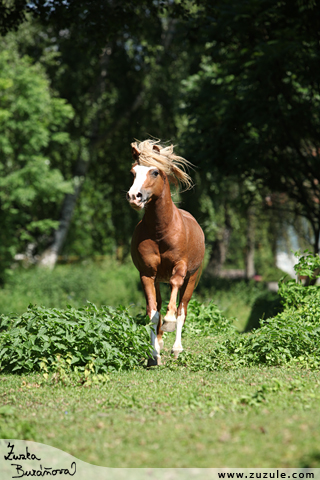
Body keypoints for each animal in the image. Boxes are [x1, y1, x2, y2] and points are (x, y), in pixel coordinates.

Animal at [125, 141, 205, 366]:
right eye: (133, 172)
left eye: (154, 172)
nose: (134, 197)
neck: (161, 231)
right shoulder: (147, 274)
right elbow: (152, 313)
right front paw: (154, 354)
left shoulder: (181, 267)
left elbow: (175, 299)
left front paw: (169, 322)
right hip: (159, 280)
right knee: (159, 306)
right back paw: (160, 343)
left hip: (193, 278)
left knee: (182, 308)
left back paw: (177, 349)